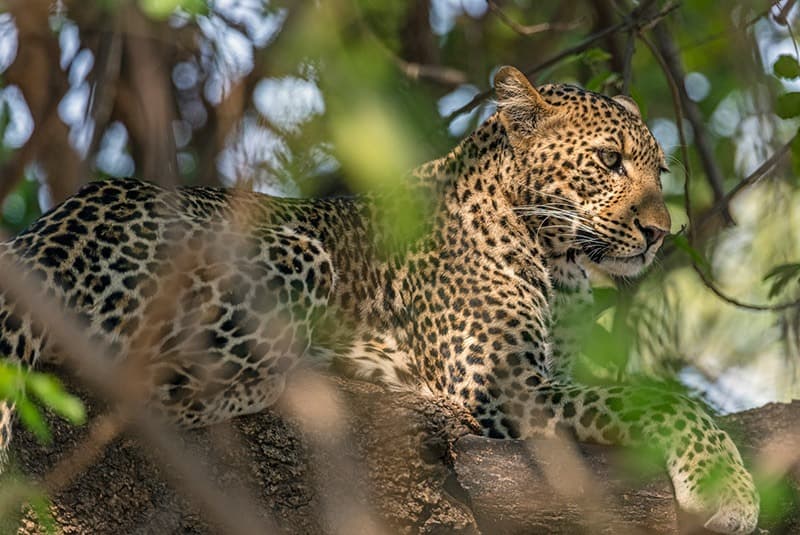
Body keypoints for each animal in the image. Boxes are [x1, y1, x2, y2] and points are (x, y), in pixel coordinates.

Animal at [0, 66, 758, 533]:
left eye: (660, 169)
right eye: (608, 161)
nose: (660, 233)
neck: (558, 261)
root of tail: (49, 229)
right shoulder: (498, 382)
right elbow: (660, 398)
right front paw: (728, 486)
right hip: (294, 250)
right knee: (151, 391)